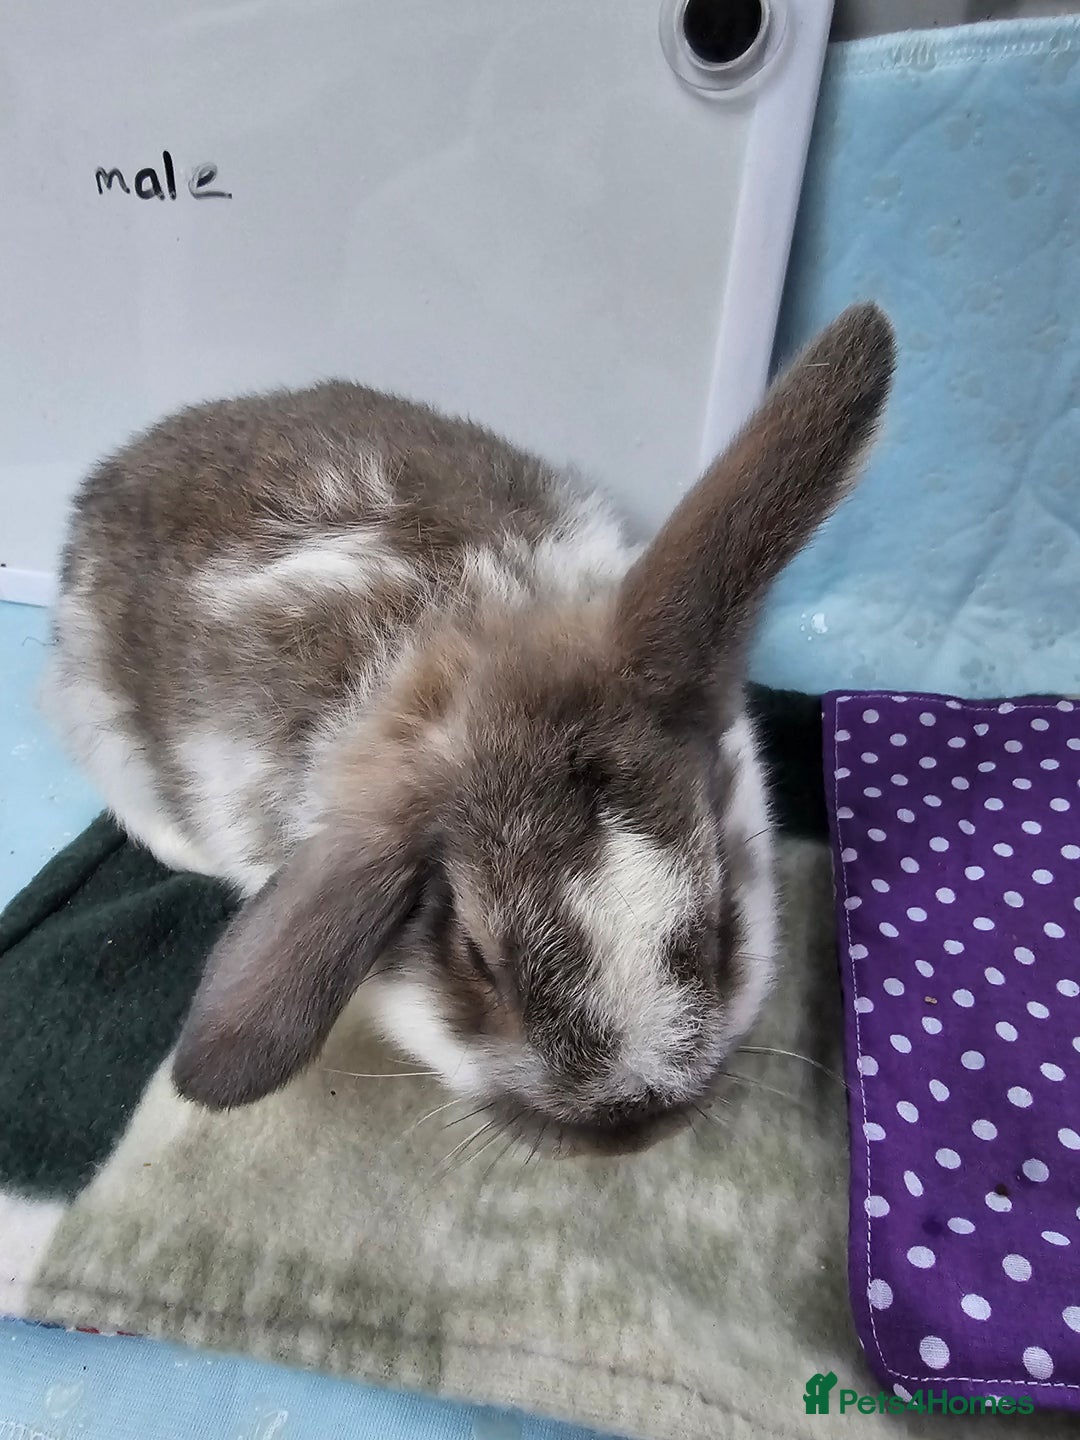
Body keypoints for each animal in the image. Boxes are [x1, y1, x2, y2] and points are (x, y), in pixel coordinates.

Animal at [43, 303, 894, 1155]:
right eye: (478, 958)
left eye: (721, 923)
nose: (631, 1125)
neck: (483, 633)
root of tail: (119, 466)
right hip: (96, 713)